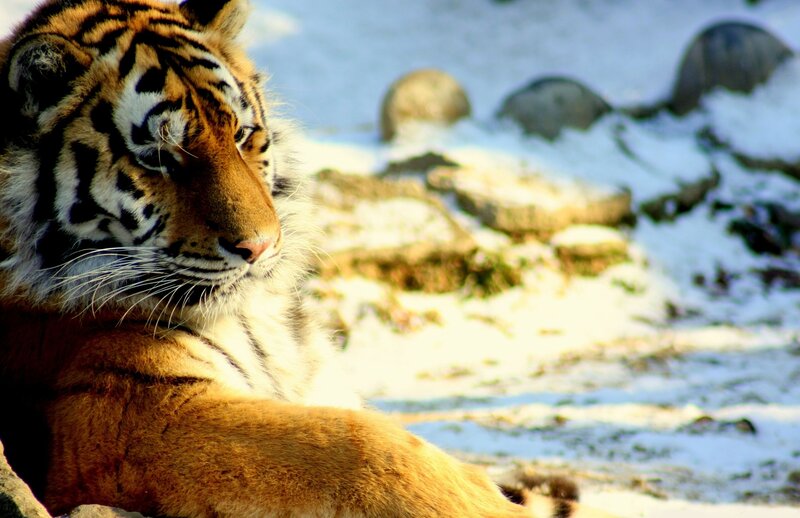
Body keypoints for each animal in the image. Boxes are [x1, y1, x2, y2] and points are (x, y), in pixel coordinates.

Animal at [0, 1, 615, 517]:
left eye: (242, 135)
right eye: (156, 156)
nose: (260, 246)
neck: (259, 318)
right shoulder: (131, 414)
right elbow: (363, 443)